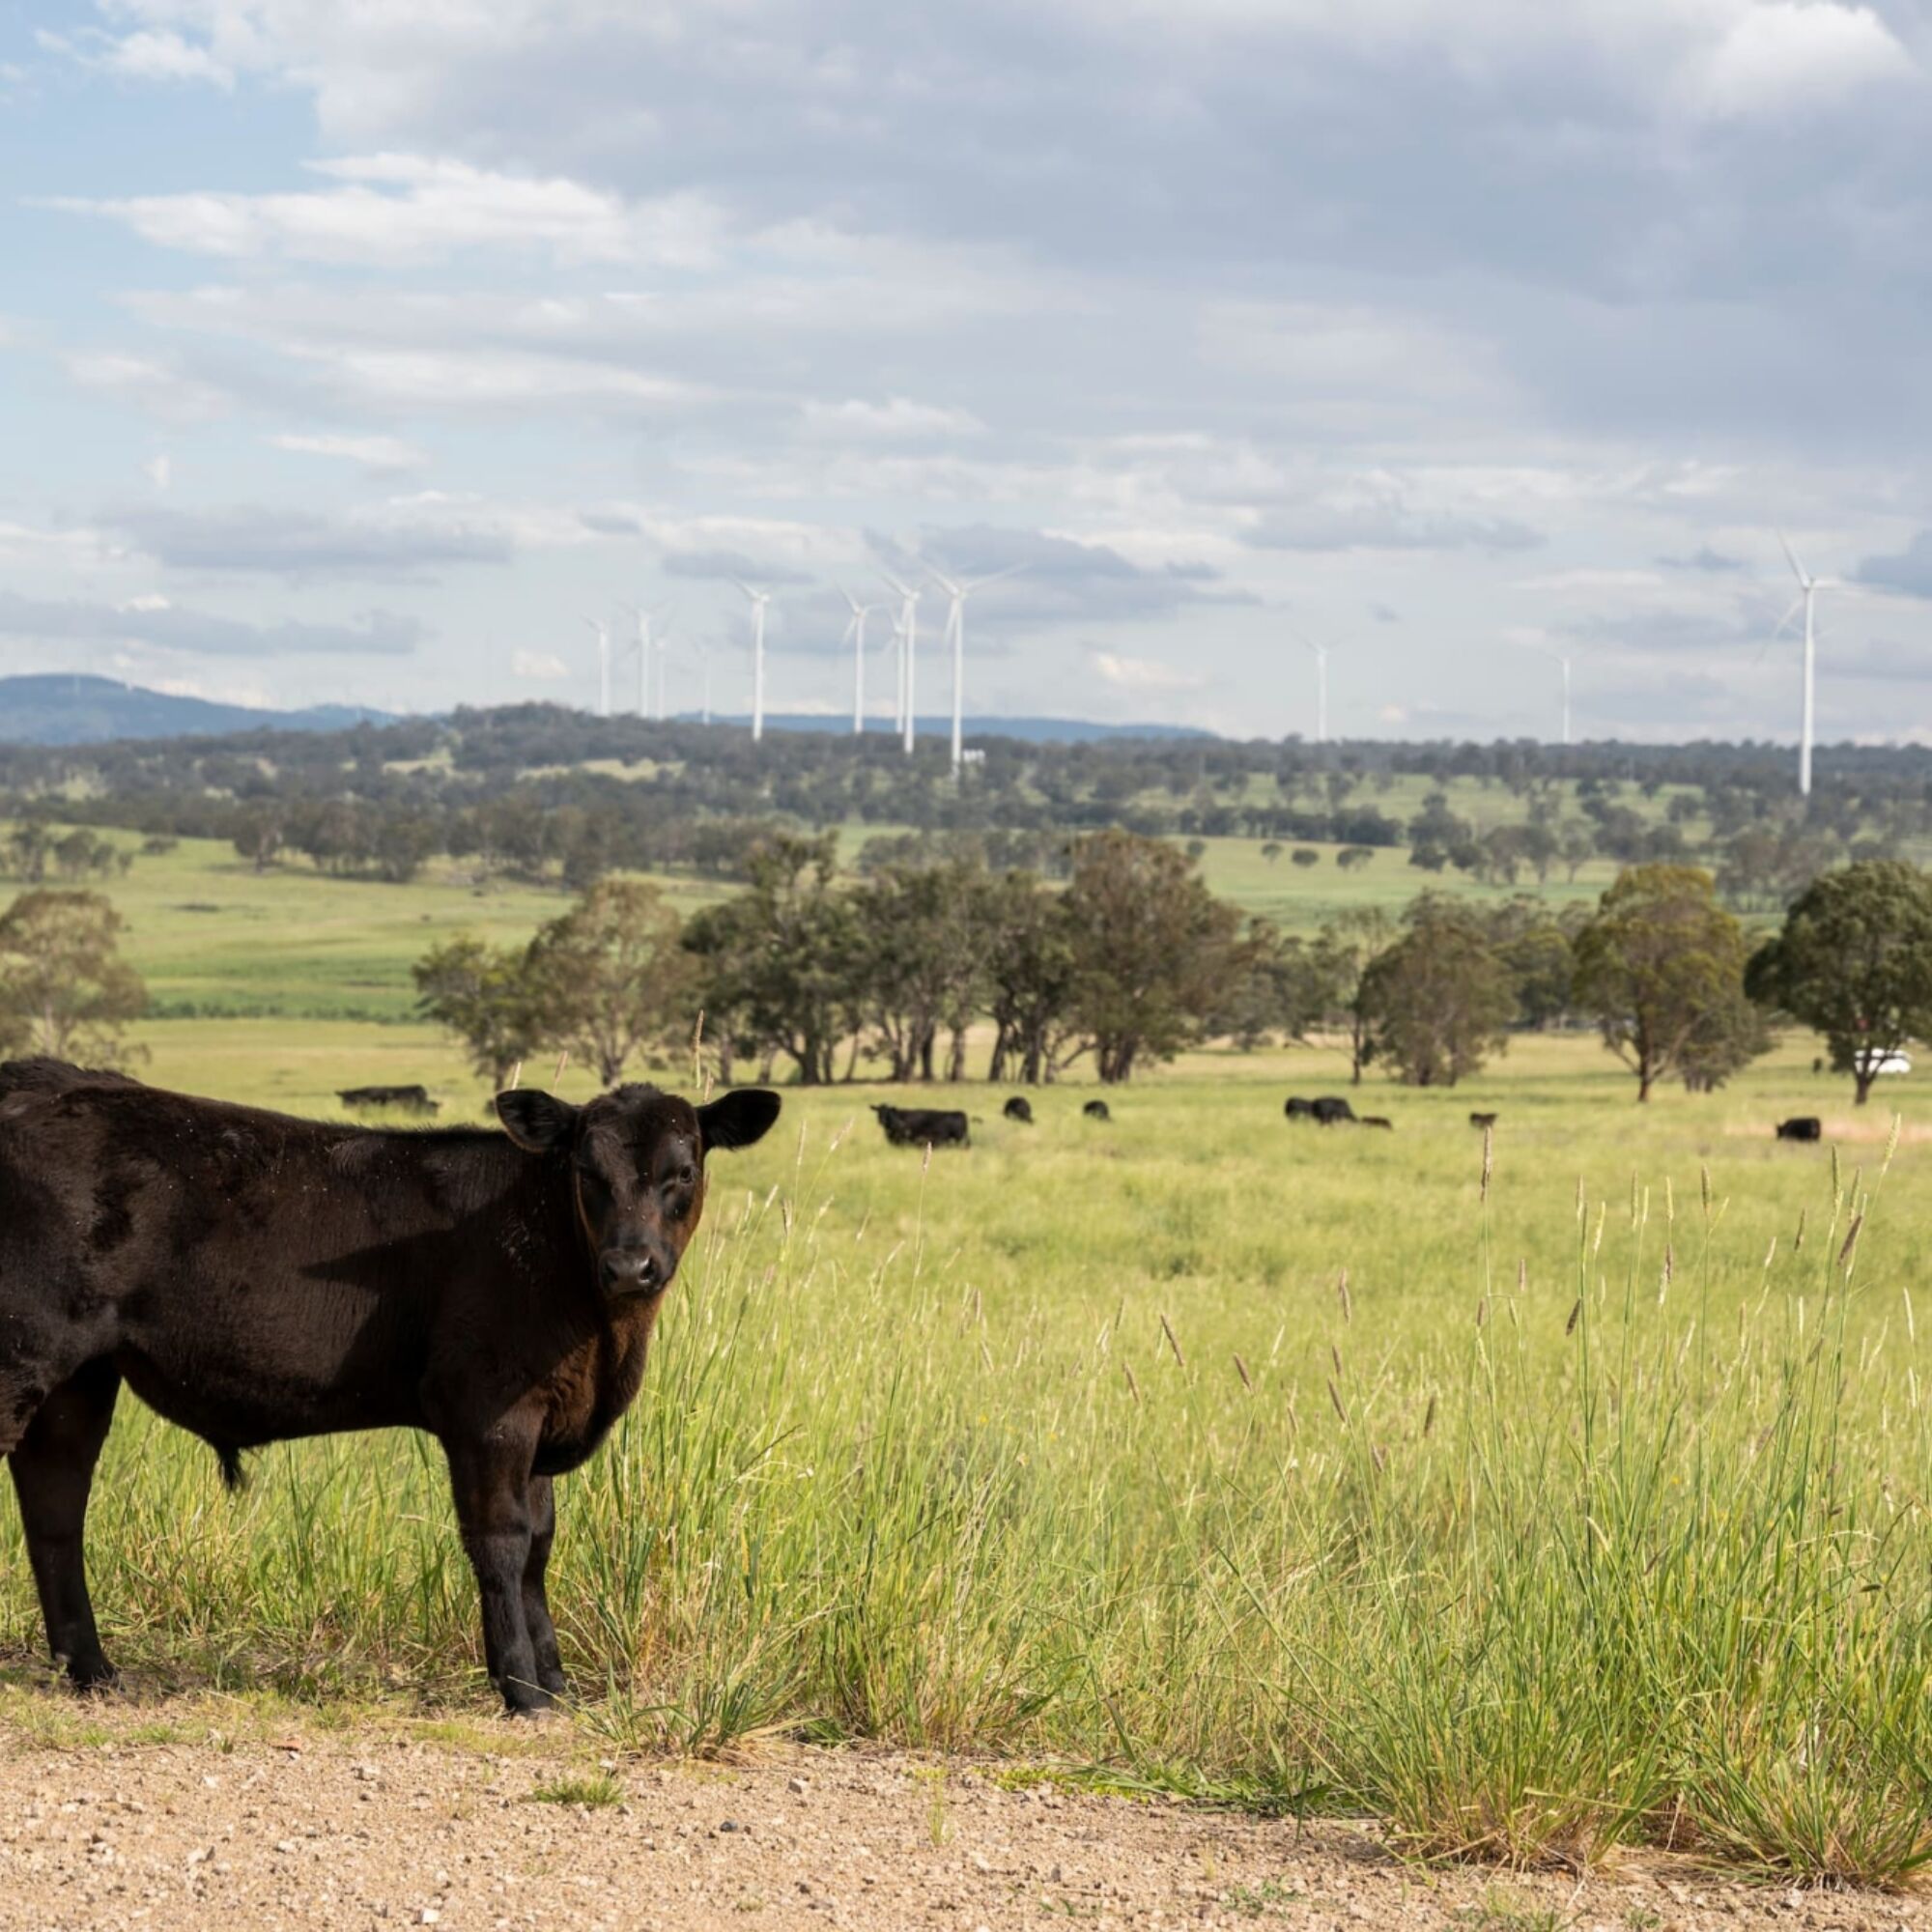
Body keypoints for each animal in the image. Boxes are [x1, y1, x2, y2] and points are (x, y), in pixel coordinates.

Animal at [0, 1059, 777, 1708]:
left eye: (683, 1171)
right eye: (588, 1171)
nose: (630, 1265)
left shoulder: (542, 1414)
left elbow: (540, 1544)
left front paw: (555, 1682)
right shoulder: (488, 1411)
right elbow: (502, 1541)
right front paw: (522, 1689)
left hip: (79, 1379)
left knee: (55, 1504)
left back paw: (93, 1670)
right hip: (24, 1357)